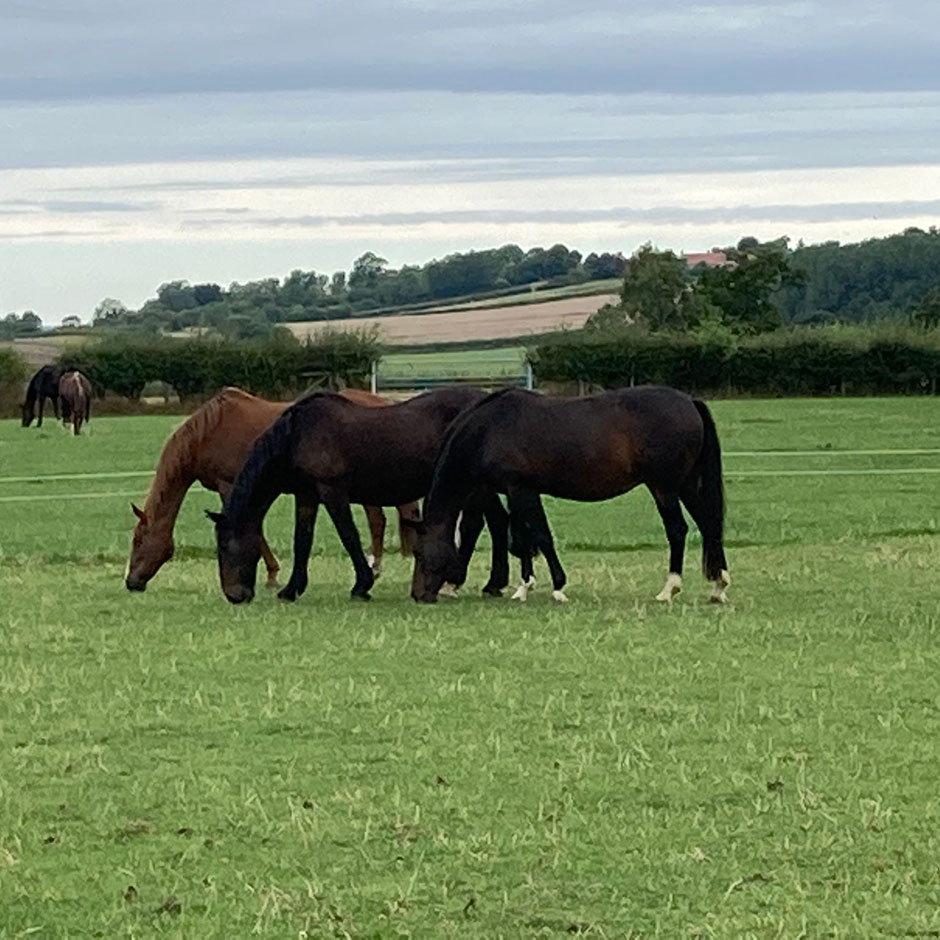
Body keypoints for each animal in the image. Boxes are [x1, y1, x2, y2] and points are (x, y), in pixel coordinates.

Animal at [125, 386, 421, 592]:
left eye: (138, 541)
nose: (131, 582)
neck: (208, 432)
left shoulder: (229, 486)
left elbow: (255, 530)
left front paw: (271, 575)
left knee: (382, 520)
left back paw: (377, 566)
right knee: (382, 520)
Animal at [207, 386, 510, 604]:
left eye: (225, 547)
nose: (234, 596)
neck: (298, 435)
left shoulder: (332, 491)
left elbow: (348, 535)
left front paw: (362, 585)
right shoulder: (307, 495)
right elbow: (302, 541)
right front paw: (292, 590)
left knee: (486, 523)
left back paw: (473, 582)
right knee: (491, 522)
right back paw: (482, 583)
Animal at [409, 385, 730, 605]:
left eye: (421, 554)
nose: (420, 596)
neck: (489, 429)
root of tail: (689, 401)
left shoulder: (522, 490)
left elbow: (541, 537)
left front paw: (558, 588)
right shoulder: (518, 492)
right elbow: (523, 540)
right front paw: (523, 588)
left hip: (663, 487)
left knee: (678, 530)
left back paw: (669, 589)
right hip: (687, 485)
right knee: (709, 526)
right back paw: (718, 587)